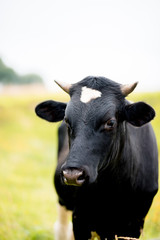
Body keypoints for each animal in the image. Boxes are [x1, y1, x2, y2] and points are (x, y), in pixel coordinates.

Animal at [35, 76, 159, 240]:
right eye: (67, 121)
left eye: (110, 122)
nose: (72, 174)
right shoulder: (80, 219)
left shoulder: (135, 223)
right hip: (63, 203)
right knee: (61, 229)